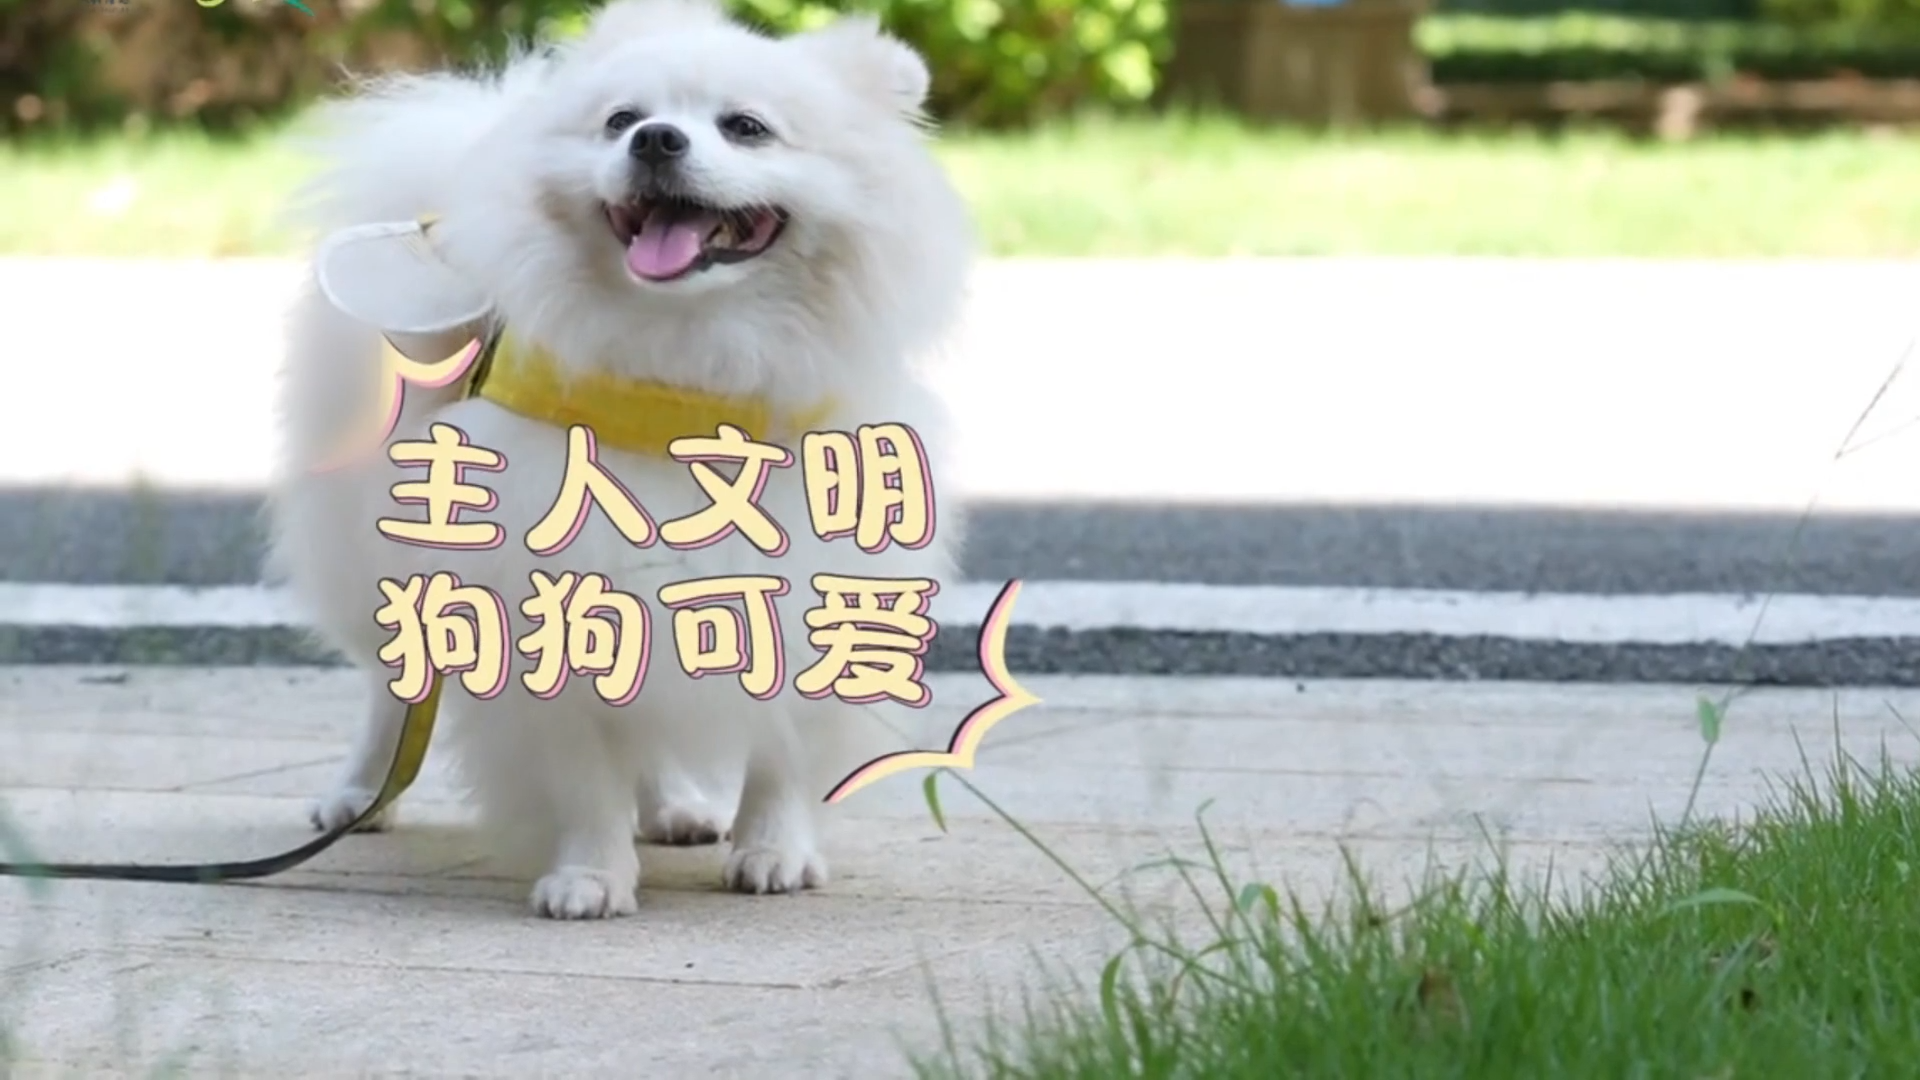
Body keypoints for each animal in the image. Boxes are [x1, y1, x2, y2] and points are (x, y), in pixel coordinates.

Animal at [265, 0, 973, 918]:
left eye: (746, 128)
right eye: (621, 120)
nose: (656, 139)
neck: (681, 391)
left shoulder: (810, 599)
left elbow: (780, 757)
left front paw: (773, 851)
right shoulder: (540, 613)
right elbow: (584, 777)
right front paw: (590, 875)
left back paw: (673, 810)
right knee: (395, 692)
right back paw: (360, 796)